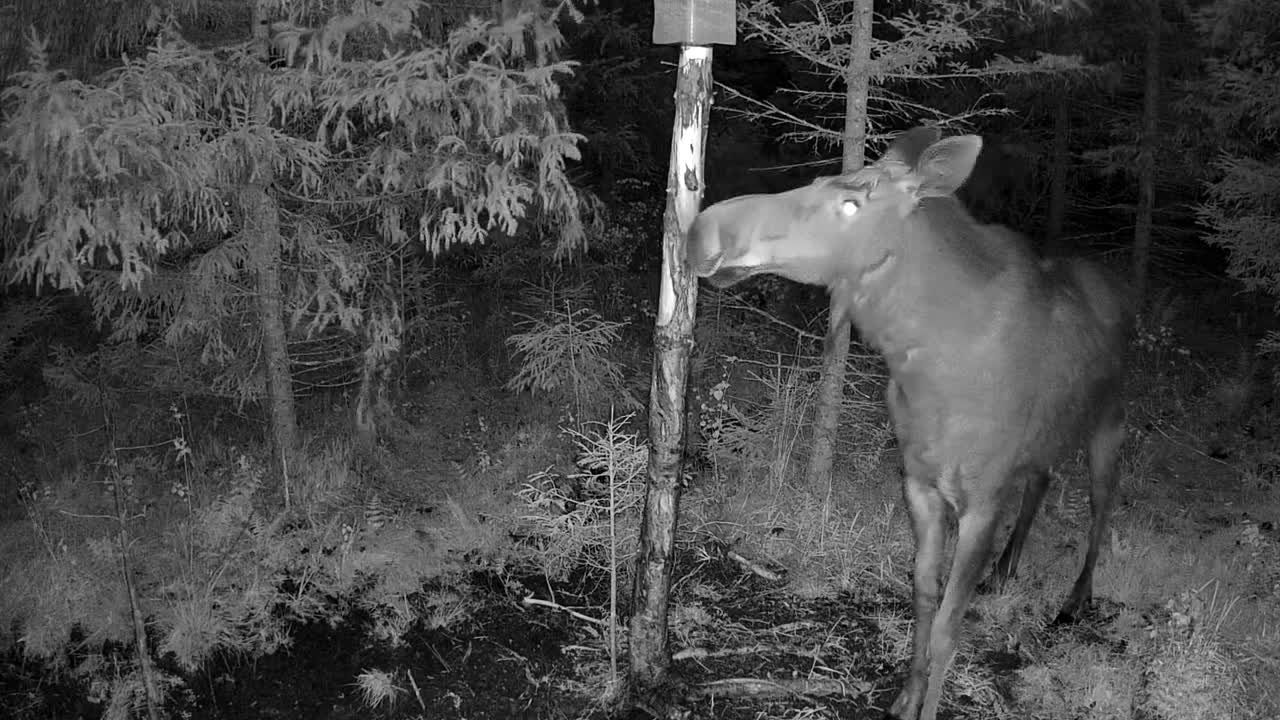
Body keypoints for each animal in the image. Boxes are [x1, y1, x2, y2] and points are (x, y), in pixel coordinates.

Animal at [686, 128, 1136, 717]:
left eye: (851, 203)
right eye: (818, 177)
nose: (703, 229)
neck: (924, 367)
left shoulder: (982, 502)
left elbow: (948, 625)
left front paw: (929, 704)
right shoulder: (919, 481)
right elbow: (922, 596)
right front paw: (907, 694)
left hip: (1110, 422)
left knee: (1102, 506)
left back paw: (1076, 599)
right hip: (1046, 438)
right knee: (1043, 479)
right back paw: (1005, 570)